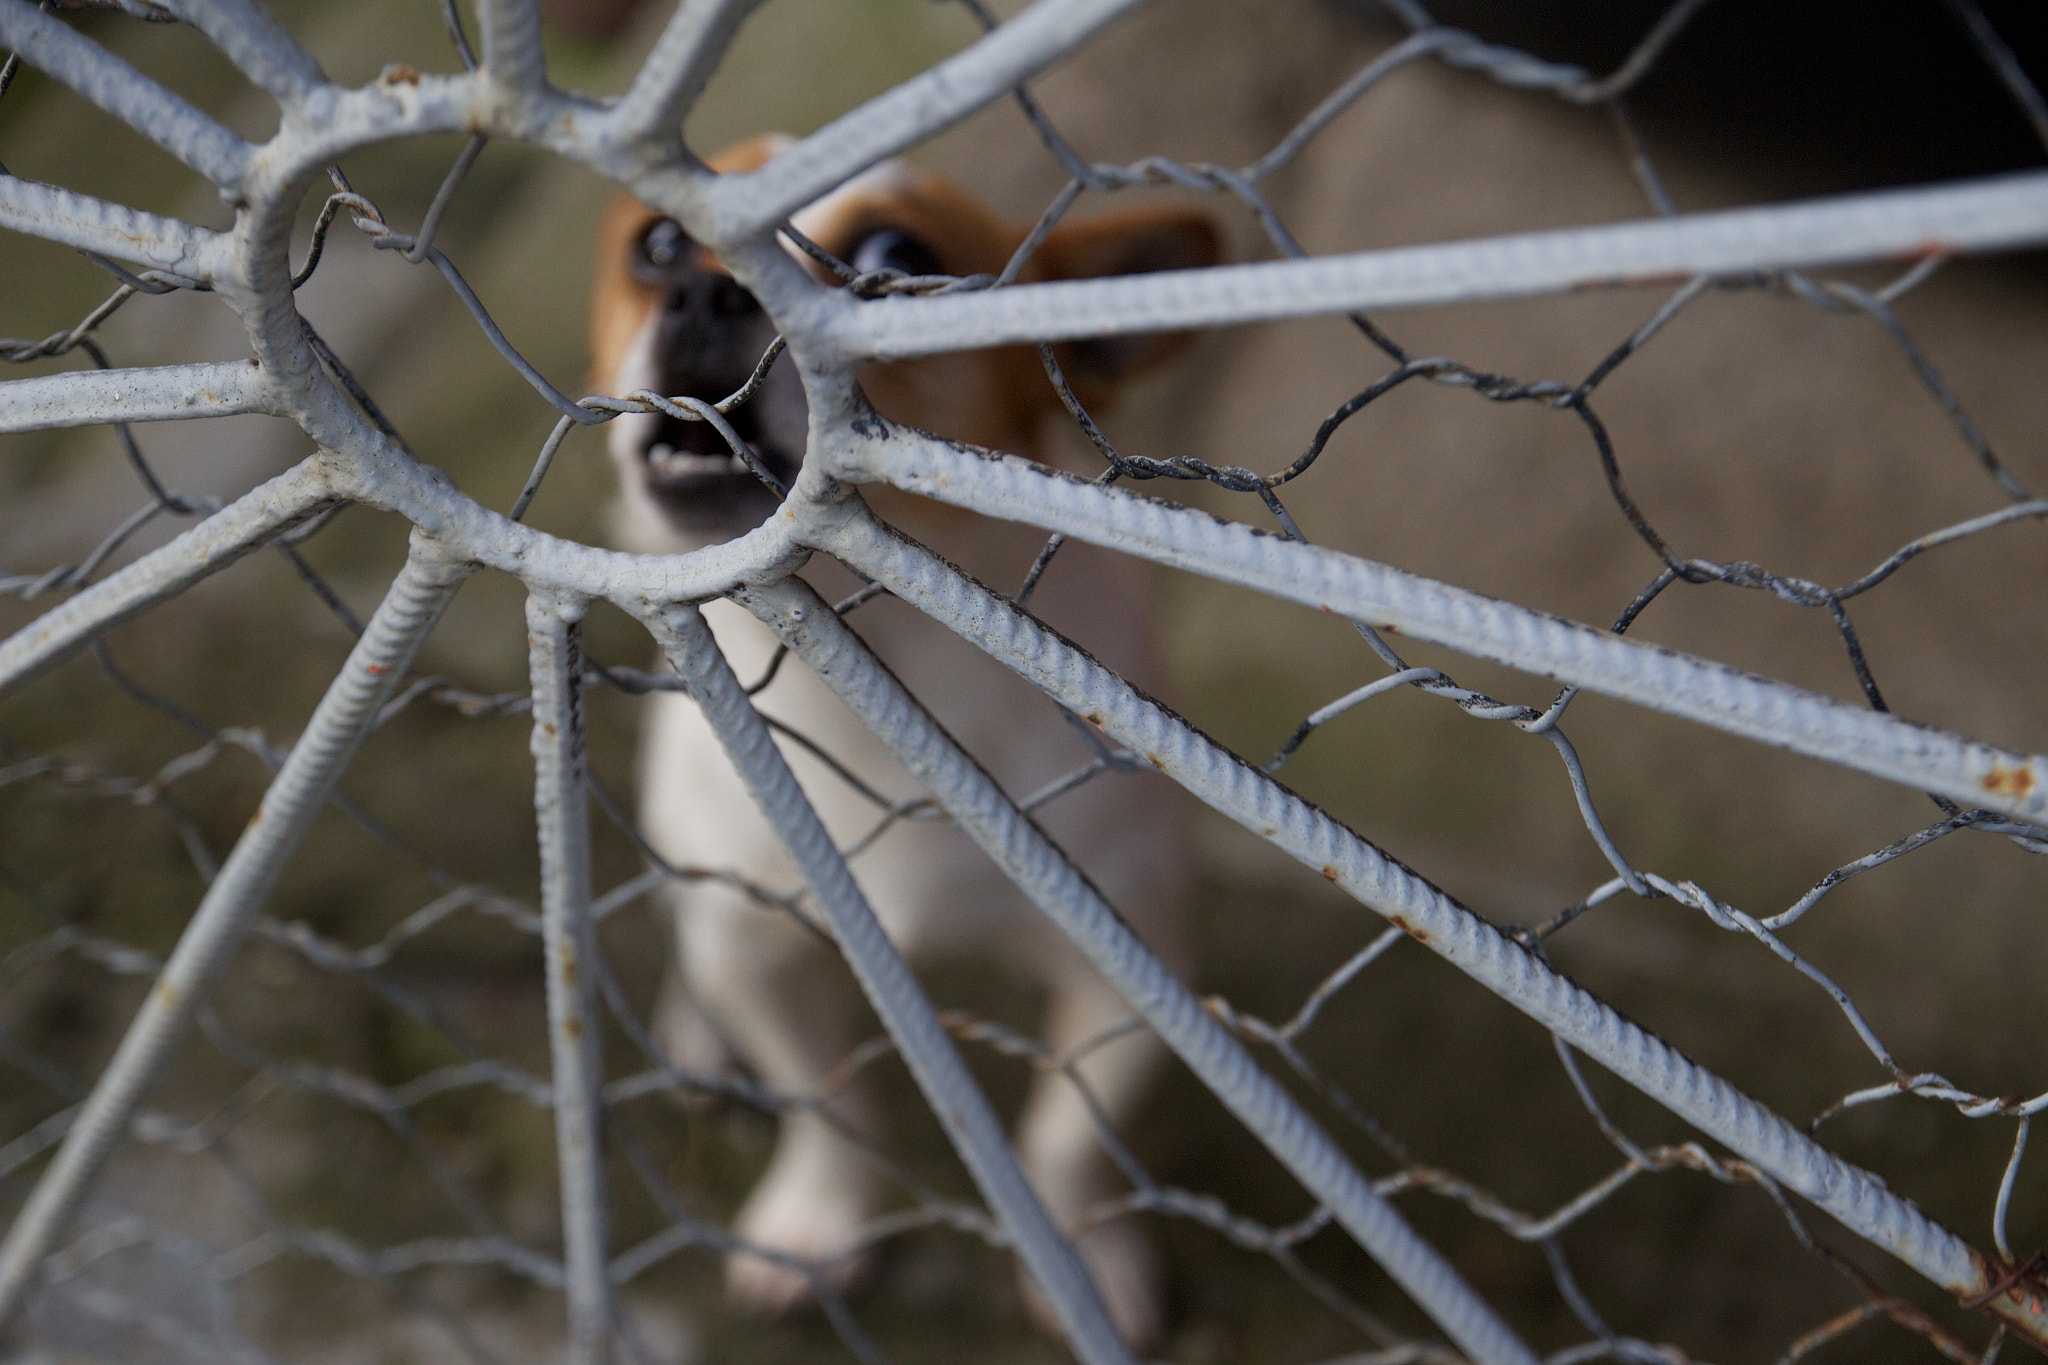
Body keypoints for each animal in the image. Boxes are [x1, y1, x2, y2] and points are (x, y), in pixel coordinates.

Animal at [585, 133, 1220, 1350]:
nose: (706, 291)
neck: (865, 687)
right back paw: (697, 1032)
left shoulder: (1129, 979)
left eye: (893, 258)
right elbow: (830, 1104)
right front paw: (818, 1221)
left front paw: (1080, 1256)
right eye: (659, 244)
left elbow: (1061, 1142)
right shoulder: (769, 957)